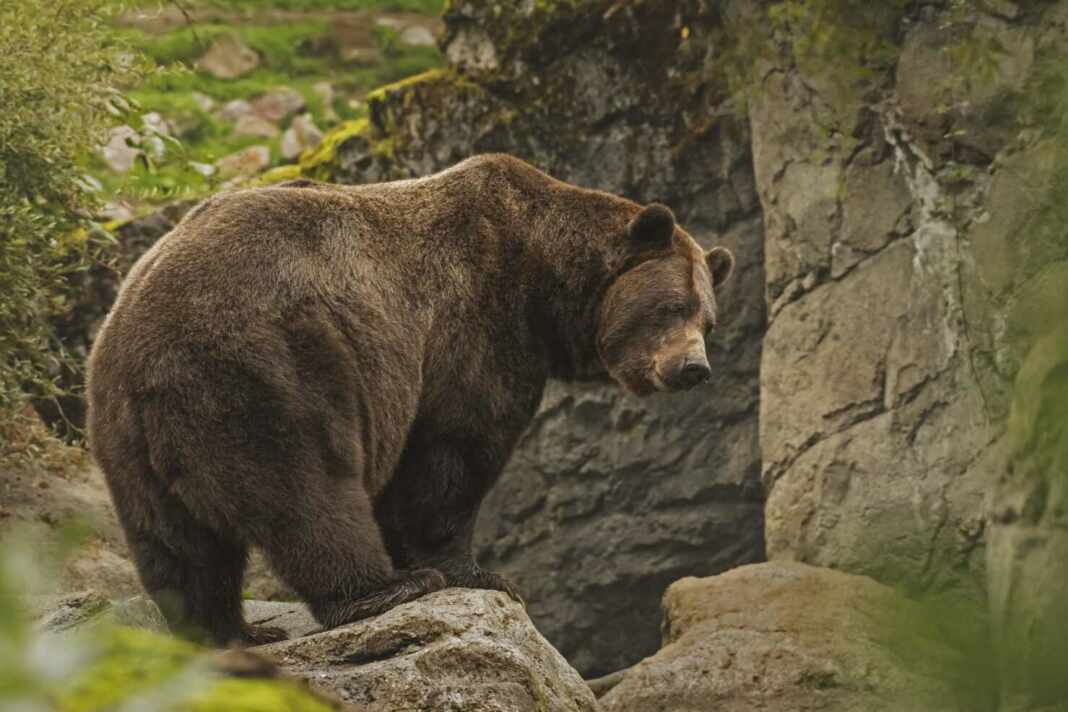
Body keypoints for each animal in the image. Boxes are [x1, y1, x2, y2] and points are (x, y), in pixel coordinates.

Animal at [87, 154, 735, 646]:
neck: (544, 279)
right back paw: (381, 590)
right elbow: (453, 452)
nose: (693, 369)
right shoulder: (474, 322)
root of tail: (145, 354)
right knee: (306, 487)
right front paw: (478, 573)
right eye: (672, 307)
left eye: (708, 318)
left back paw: (228, 631)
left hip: (123, 428)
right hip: (266, 365)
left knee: (176, 542)